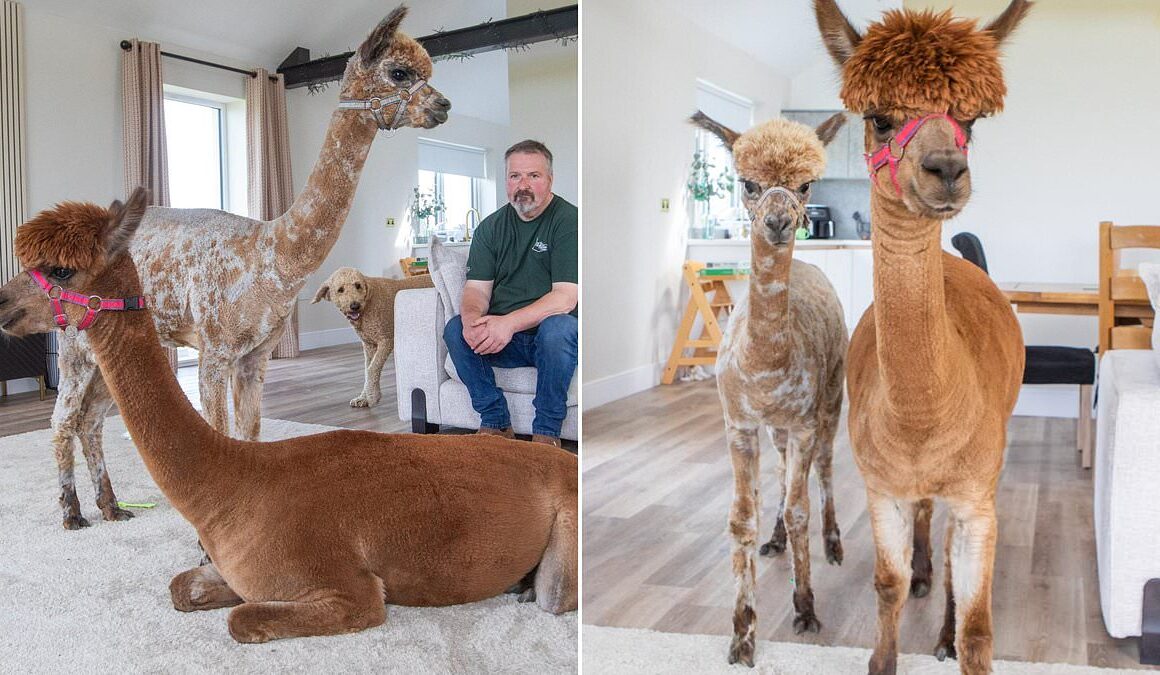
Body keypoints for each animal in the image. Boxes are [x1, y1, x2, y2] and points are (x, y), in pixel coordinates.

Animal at [310, 269, 433, 408]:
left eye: (358, 285)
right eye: (340, 289)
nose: (355, 305)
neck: (367, 305)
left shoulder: (386, 341)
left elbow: (372, 369)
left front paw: (372, 397)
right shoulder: (369, 345)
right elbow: (367, 369)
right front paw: (363, 398)